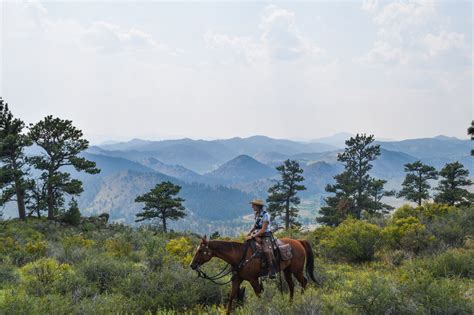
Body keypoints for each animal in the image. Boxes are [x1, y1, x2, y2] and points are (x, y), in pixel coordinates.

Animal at [190, 236, 318, 314]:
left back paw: (301, 301)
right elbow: (231, 297)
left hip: (297, 270)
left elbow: (259, 295)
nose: (192, 265)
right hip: (287, 270)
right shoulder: (237, 279)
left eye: (200, 250)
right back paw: (290, 304)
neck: (240, 256)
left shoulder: (253, 280)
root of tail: (299, 241)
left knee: (304, 281)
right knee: (291, 285)